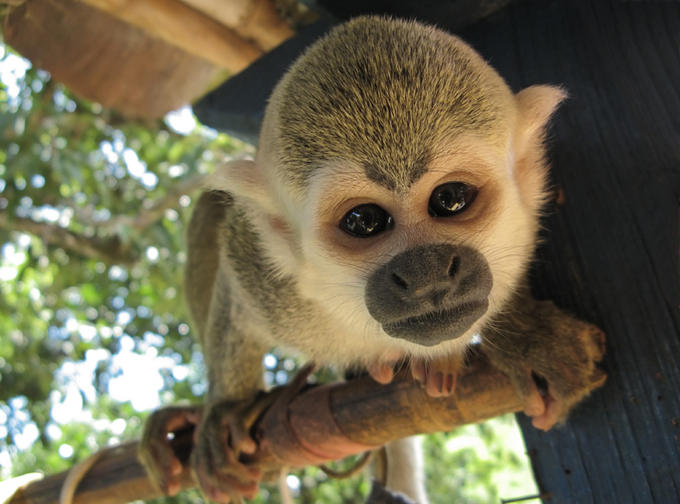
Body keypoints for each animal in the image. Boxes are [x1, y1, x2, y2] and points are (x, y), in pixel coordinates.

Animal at [138, 16, 605, 503]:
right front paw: (225, 406)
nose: (427, 275)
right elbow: (236, 287)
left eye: (450, 198)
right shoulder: (267, 281)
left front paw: (525, 334)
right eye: (364, 220)